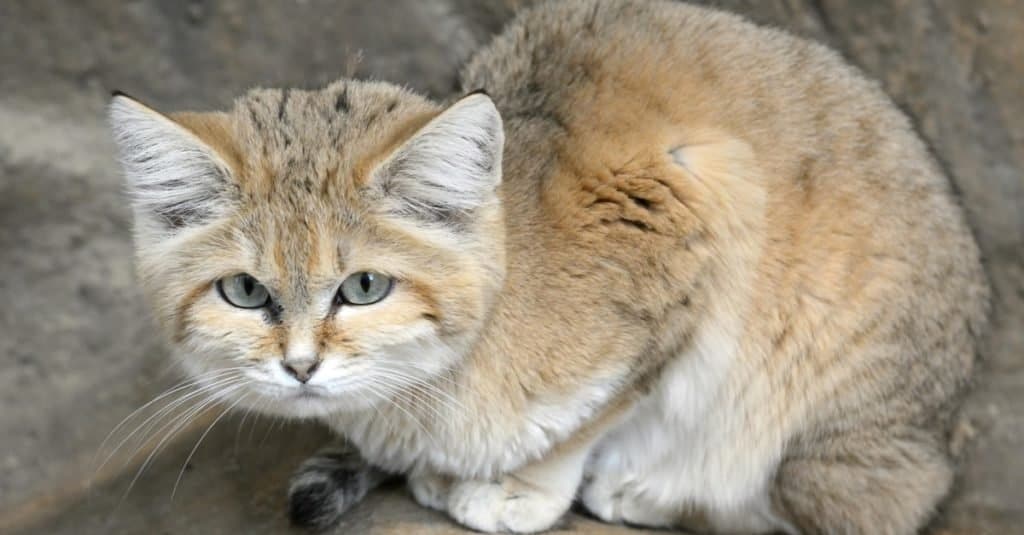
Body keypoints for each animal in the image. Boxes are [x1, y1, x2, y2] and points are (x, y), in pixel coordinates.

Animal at [110, 0, 983, 528]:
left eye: (363, 287)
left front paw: (522, 487)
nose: (298, 367)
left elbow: (589, 419)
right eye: (244, 291)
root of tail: (943, 430)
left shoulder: (698, 215)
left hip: (826, 445)